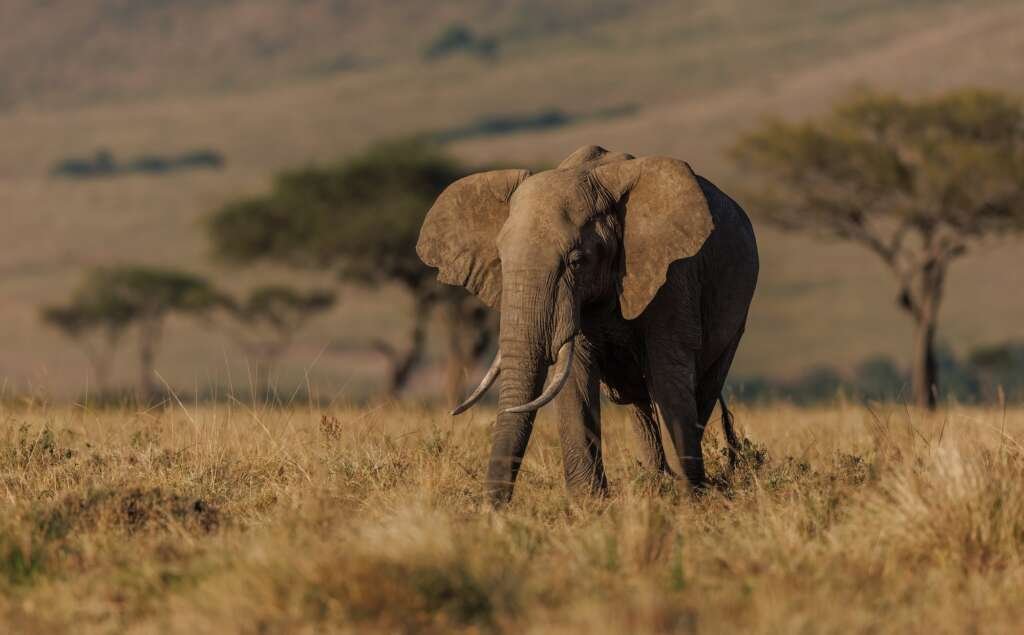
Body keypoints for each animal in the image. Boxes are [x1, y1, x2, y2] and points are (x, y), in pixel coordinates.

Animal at [411, 143, 757, 505]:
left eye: (576, 261)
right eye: (501, 260)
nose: (493, 507)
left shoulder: (674, 273)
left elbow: (668, 372)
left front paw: (689, 500)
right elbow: (574, 372)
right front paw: (588, 503)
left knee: (700, 388)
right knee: (638, 404)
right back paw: (654, 482)